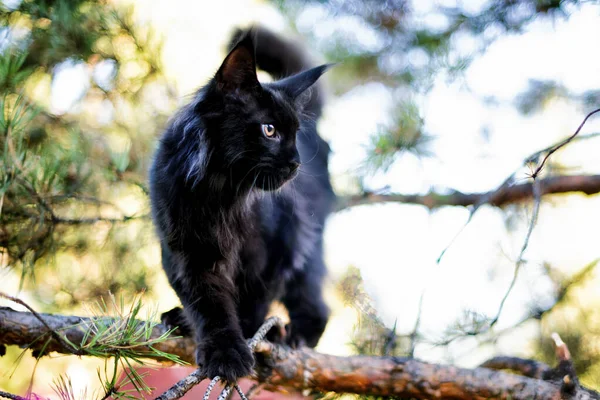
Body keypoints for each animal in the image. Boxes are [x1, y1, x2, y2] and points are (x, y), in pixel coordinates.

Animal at [148, 28, 336, 382]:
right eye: (269, 130)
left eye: (294, 133)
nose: (296, 163)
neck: (220, 194)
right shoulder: (187, 253)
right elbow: (208, 305)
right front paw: (224, 351)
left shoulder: (278, 249)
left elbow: (254, 302)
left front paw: (250, 336)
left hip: (307, 243)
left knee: (315, 305)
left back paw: (293, 336)